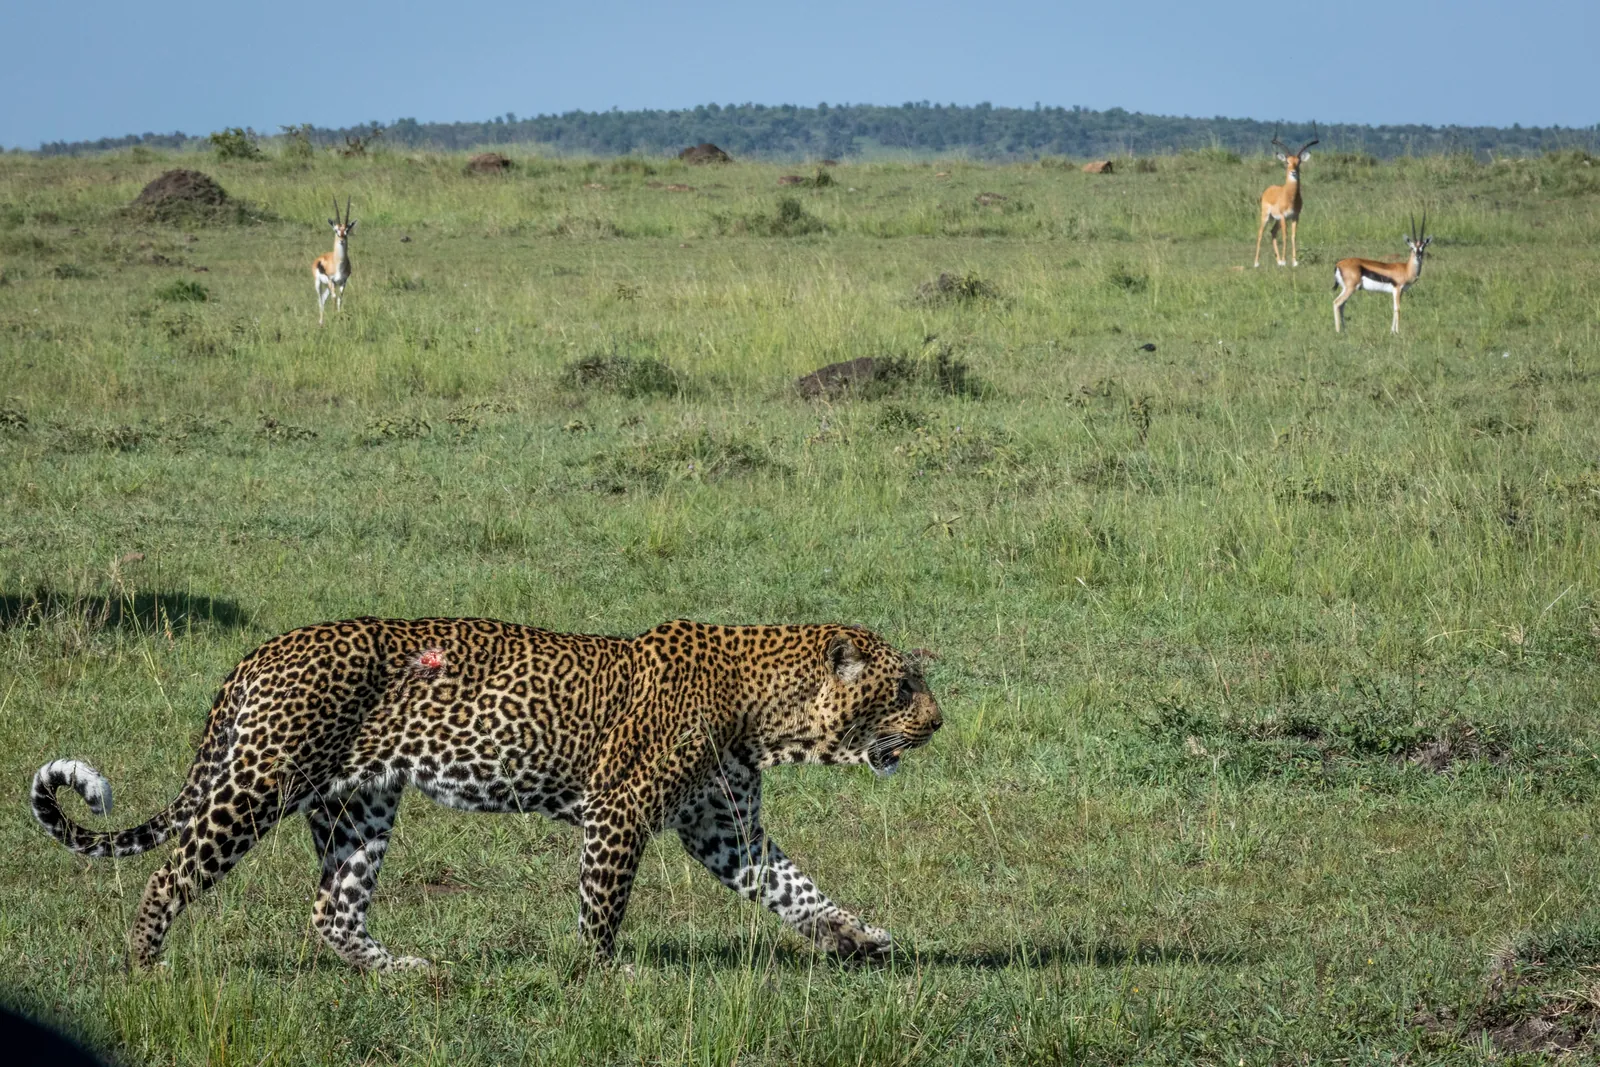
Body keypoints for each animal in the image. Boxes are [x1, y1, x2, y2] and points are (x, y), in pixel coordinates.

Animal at [30, 617, 943, 971]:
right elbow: (604, 899)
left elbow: (796, 887)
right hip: (260, 782)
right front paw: (600, 971)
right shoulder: (620, 806)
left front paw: (857, 937)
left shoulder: (726, 830)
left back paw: (402, 971)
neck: (766, 711)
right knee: (173, 868)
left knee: (331, 908)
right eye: (904, 687)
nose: (940, 719)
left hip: (359, 804)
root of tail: (261, 651)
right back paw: (145, 961)